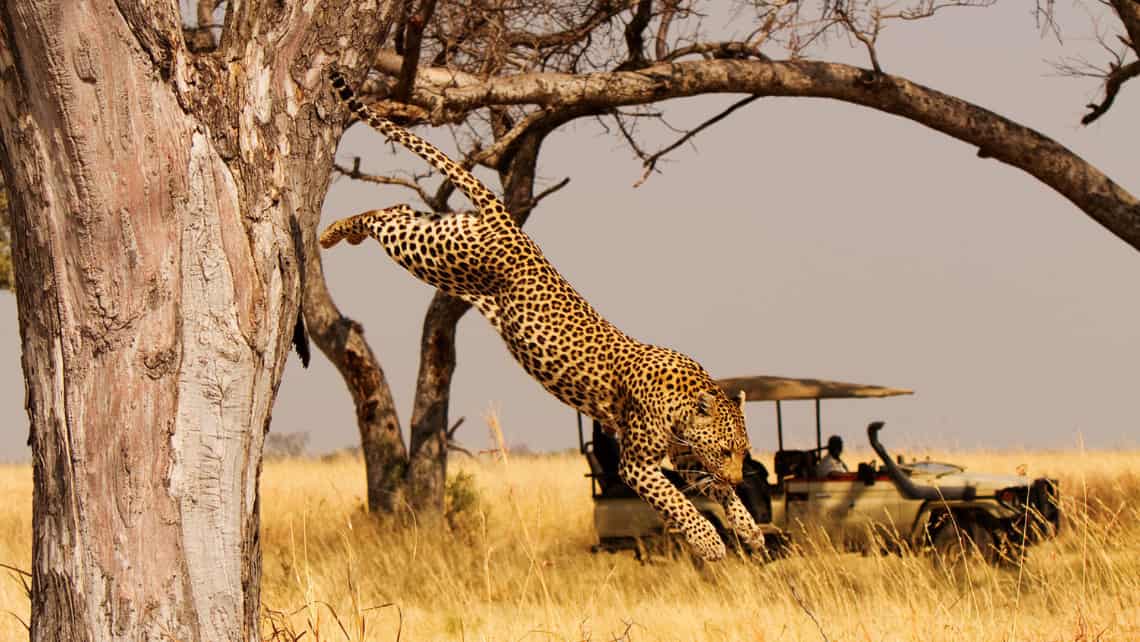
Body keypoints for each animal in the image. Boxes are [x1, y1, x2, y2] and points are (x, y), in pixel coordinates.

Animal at [323, 70, 766, 561]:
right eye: (726, 450)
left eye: (743, 451)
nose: (739, 473)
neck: (685, 402)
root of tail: (507, 221)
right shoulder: (637, 464)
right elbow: (679, 503)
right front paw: (710, 542)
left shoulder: (684, 456)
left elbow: (716, 492)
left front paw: (749, 528)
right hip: (440, 257)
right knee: (385, 218)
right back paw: (332, 232)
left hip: (443, 237)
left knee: (399, 209)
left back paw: (340, 231)